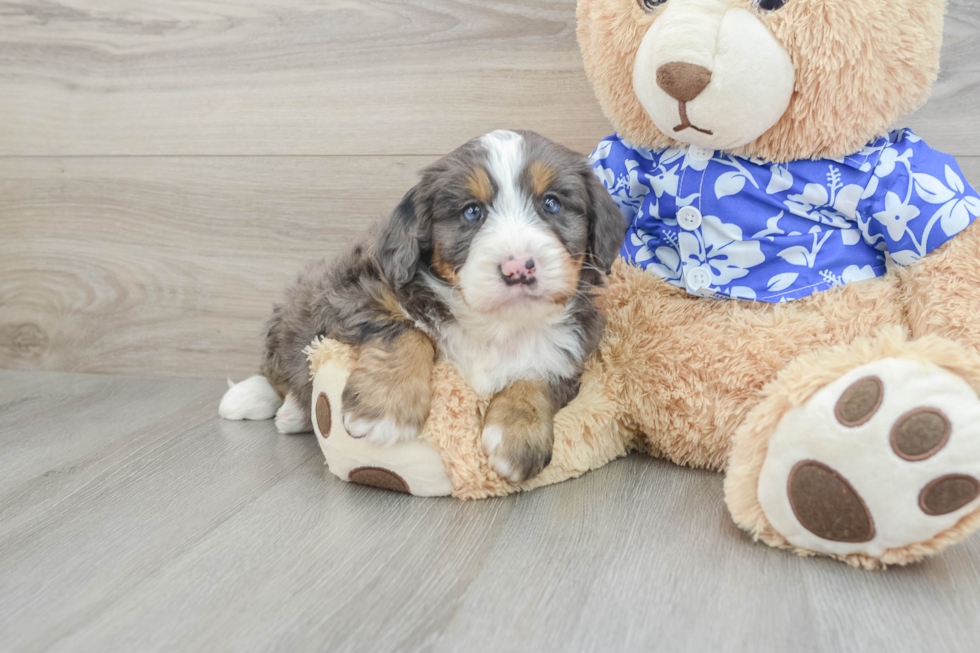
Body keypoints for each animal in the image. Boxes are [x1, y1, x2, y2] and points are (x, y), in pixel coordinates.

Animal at [219, 130, 624, 482]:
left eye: (552, 203)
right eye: (472, 212)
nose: (518, 268)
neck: (496, 323)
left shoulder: (572, 348)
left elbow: (537, 372)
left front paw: (517, 433)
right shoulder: (349, 293)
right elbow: (407, 331)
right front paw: (387, 406)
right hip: (293, 314)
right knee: (277, 372)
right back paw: (256, 401)